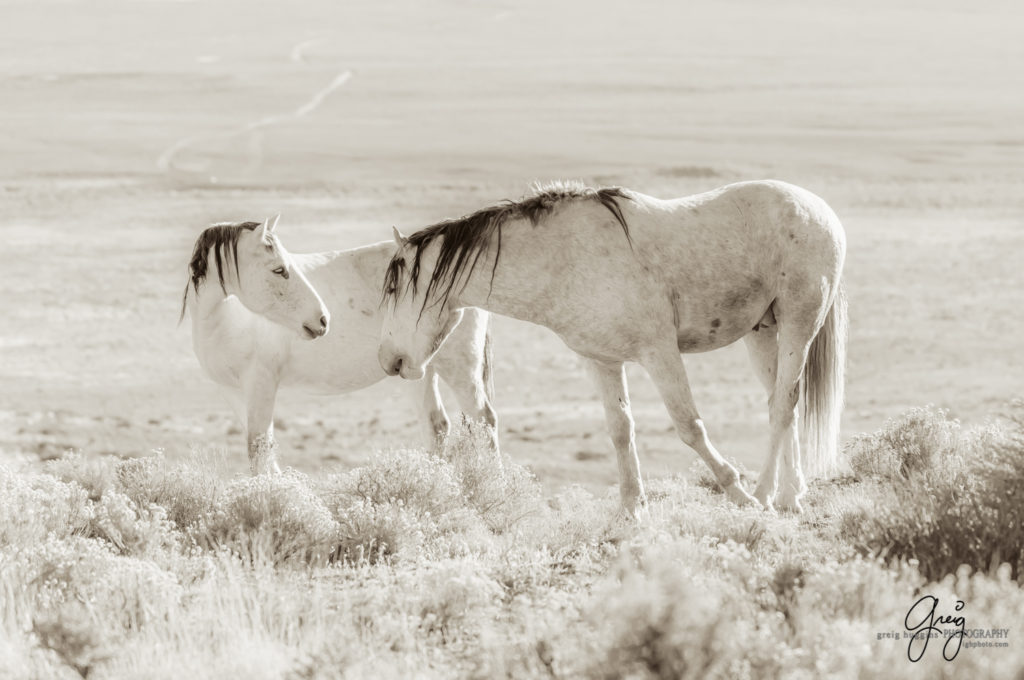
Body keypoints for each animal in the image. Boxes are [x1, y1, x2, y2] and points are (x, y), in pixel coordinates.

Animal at [185, 216, 503, 473]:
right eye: (278, 270)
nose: (322, 319)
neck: (225, 318)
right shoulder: (232, 391)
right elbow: (263, 453)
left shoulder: (261, 384)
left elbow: (259, 448)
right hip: (417, 369)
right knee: (436, 425)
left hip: (460, 369)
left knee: (484, 420)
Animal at [380, 180, 843, 516]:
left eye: (392, 288)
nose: (390, 362)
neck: (563, 260)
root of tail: (822, 209)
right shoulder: (601, 361)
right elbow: (620, 431)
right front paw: (630, 509)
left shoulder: (660, 353)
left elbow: (689, 426)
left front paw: (737, 494)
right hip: (762, 331)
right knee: (781, 404)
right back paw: (790, 495)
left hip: (799, 324)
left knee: (783, 405)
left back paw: (765, 495)